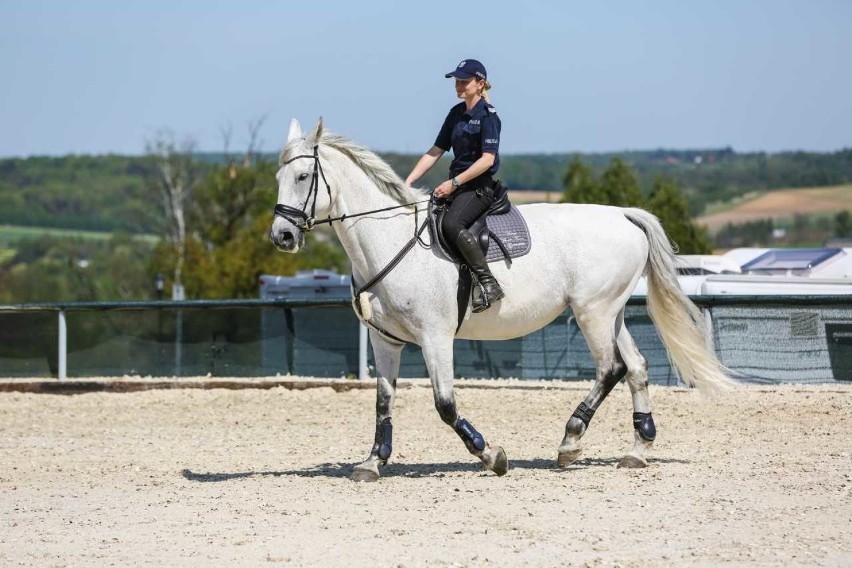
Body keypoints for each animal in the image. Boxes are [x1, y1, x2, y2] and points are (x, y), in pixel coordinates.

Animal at [272, 117, 732, 482]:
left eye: (303, 177)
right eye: (278, 178)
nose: (283, 237)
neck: (388, 239)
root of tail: (623, 214)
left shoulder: (435, 337)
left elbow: (445, 404)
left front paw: (491, 455)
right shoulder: (386, 341)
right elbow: (383, 403)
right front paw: (372, 463)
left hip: (592, 312)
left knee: (611, 368)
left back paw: (570, 442)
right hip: (611, 312)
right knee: (636, 367)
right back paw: (637, 450)